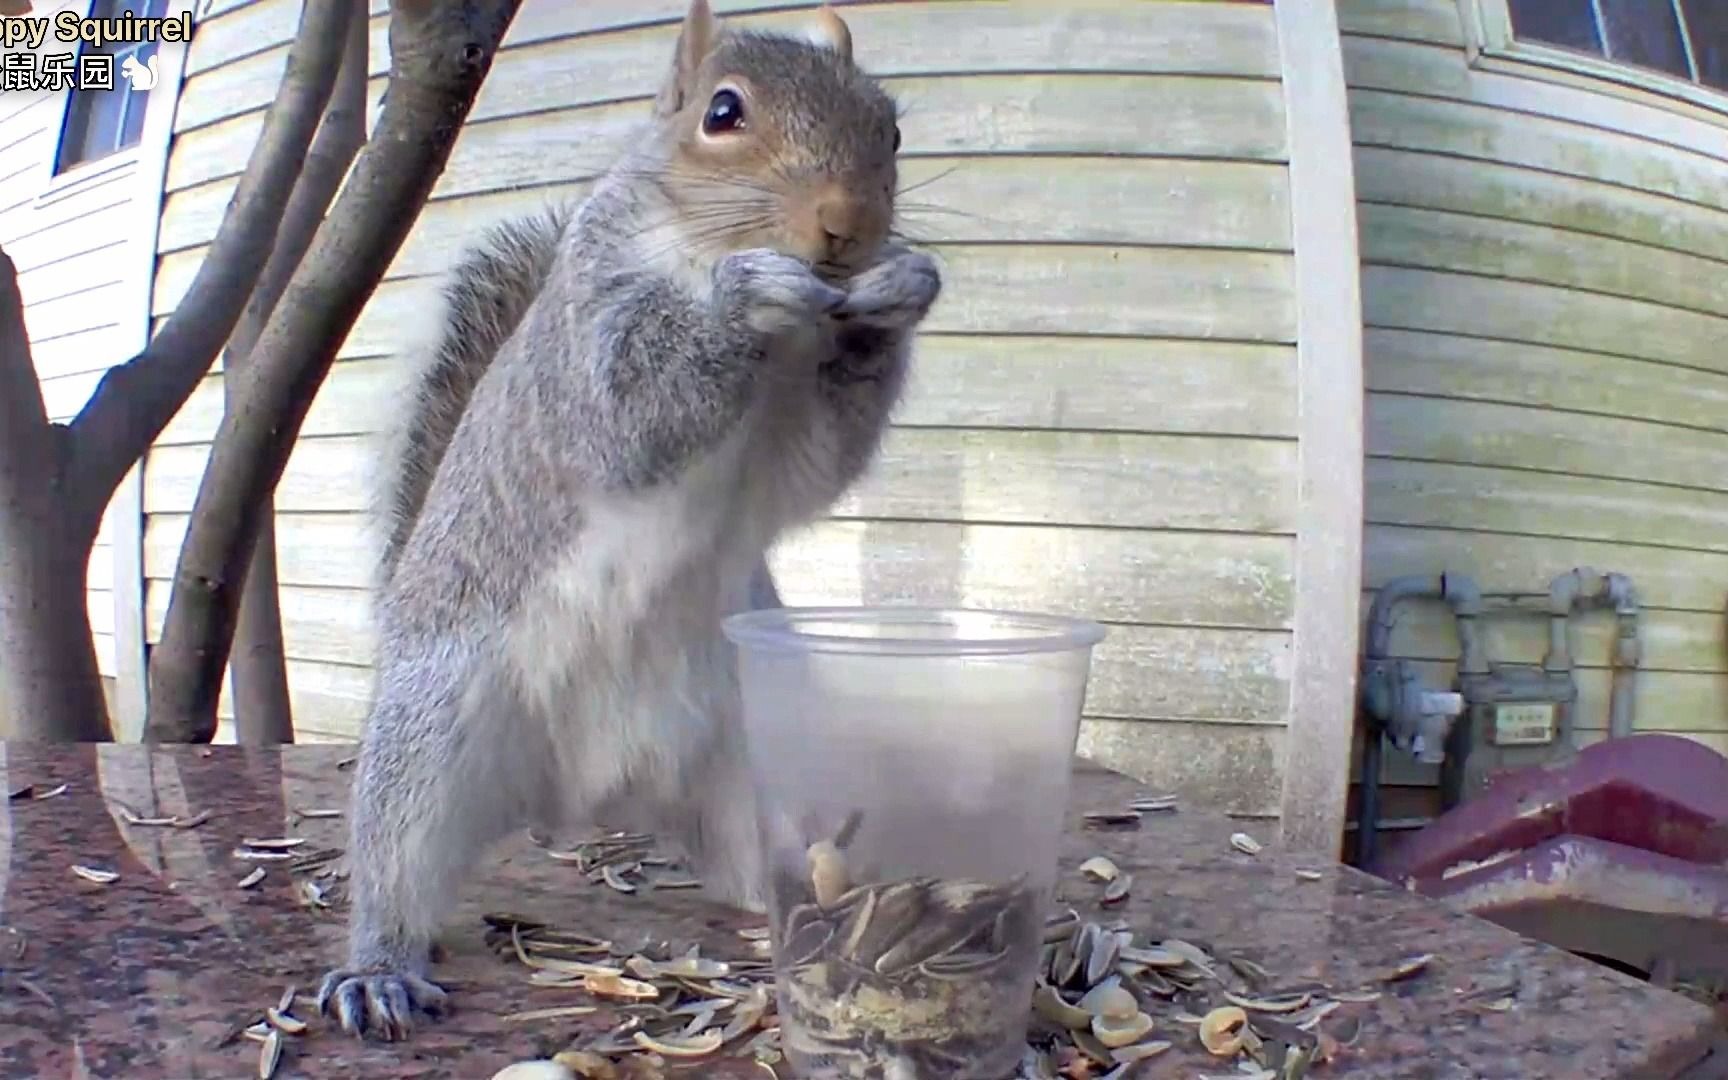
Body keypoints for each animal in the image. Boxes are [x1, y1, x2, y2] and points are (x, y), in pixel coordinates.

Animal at [309, 2, 933, 1043]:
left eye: (889, 129)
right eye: (722, 113)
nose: (845, 228)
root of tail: (596, 794)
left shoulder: (787, 445)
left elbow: (819, 461)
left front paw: (892, 299)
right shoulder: (586, 349)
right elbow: (632, 405)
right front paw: (745, 296)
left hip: (753, 757)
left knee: (766, 867)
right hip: (431, 734)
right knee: (395, 865)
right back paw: (378, 970)